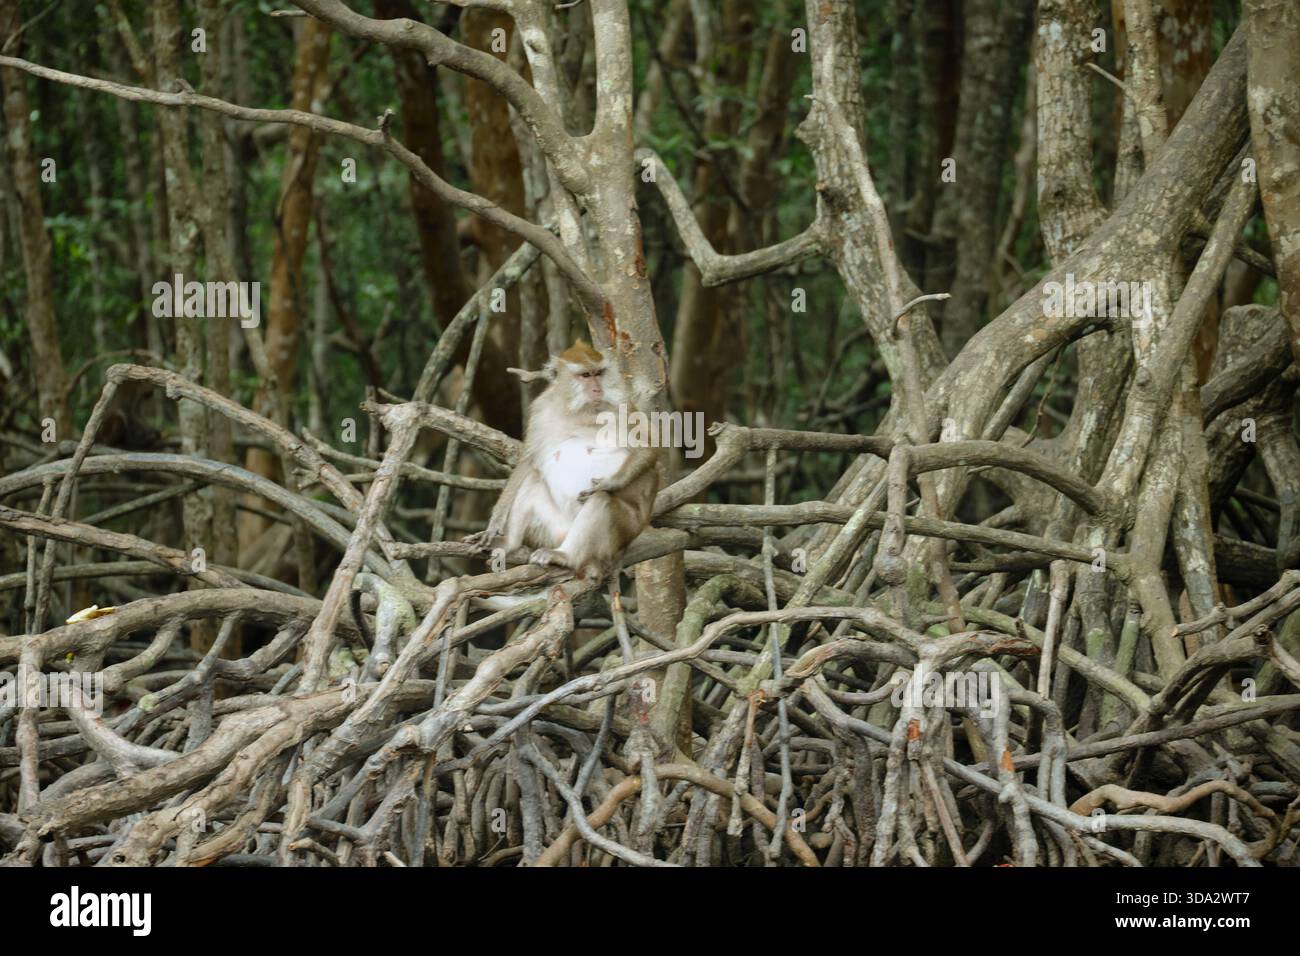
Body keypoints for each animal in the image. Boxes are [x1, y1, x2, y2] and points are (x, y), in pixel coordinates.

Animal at [464, 341, 660, 579]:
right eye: (585, 375)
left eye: (598, 373)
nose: (597, 389)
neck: (577, 410)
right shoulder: (541, 409)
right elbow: (528, 462)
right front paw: (493, 527)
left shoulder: (621, 408)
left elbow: (649, 448)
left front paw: (608, 483)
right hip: (554, 529)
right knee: (533, 480)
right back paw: (509, 543)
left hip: (618, 535)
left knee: (601, 500)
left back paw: (566, 557)